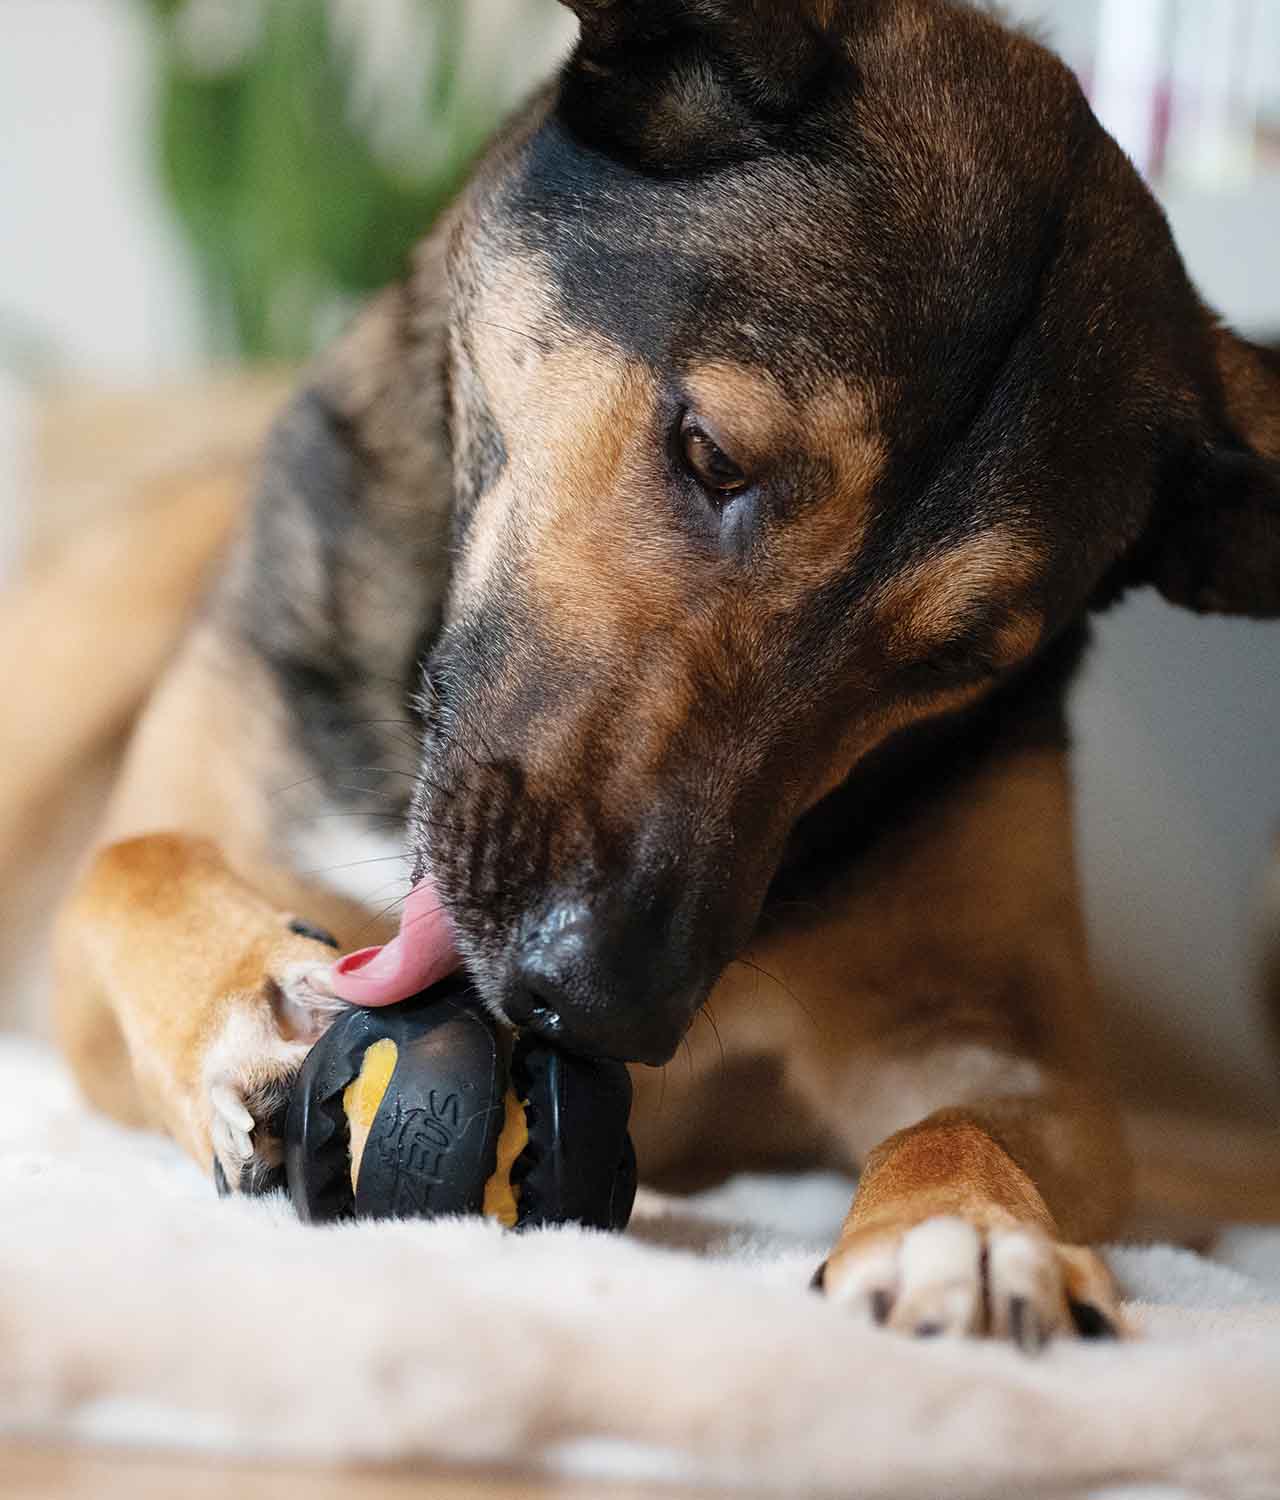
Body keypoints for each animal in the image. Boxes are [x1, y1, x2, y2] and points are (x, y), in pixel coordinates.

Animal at [49, 0, 1278, 1350]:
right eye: (713, 453)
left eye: (962, 658)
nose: (601, 1010)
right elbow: (122, 866)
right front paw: (240, 1000)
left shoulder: (1008, 1043)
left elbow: (966, 1120)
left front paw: (964, 1223)